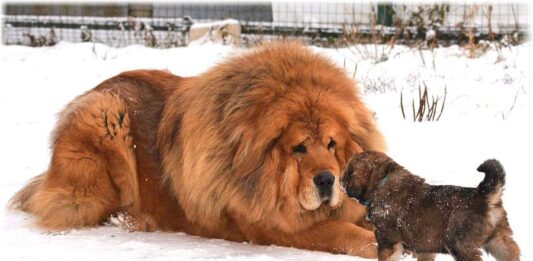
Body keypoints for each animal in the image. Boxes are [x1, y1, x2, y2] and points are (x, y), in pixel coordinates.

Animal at [9, 42, 382, 256]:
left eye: (331, 144)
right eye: (299, 148)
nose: (327, 180)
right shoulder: (271, 225)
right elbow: (341, 231)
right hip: (104, 115)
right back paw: (131, 217)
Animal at [340, 150, 520, 260]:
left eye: (348, 170)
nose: (339, 179)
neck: (381, 181)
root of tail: (485, 195)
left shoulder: (387, 242)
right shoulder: (425, 248)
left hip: (460, 245)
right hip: (499, 240)